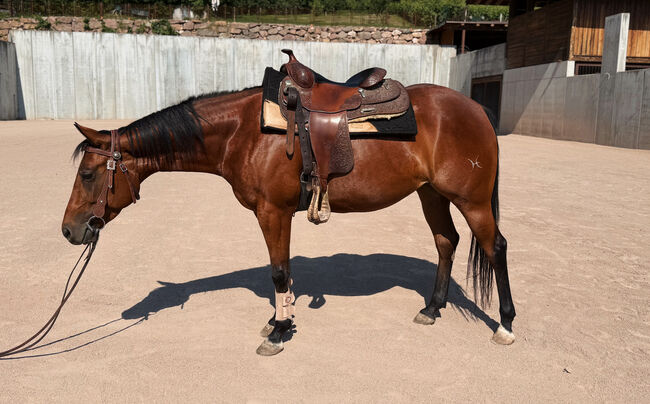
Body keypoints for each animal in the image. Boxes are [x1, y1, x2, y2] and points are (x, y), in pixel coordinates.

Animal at [61, 84, 516, 356]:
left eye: (88, 175)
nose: (69, 230)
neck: (244, 132)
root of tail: (476, 108)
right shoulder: (277, 215)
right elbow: (283, 272)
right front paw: (279, 319)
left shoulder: (273, 212)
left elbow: (279, 272)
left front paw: (279, 332)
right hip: (432, 195)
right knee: (446, 242)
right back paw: (433, 308)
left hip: (472, 200)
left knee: (495, 247)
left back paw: (506, 324)